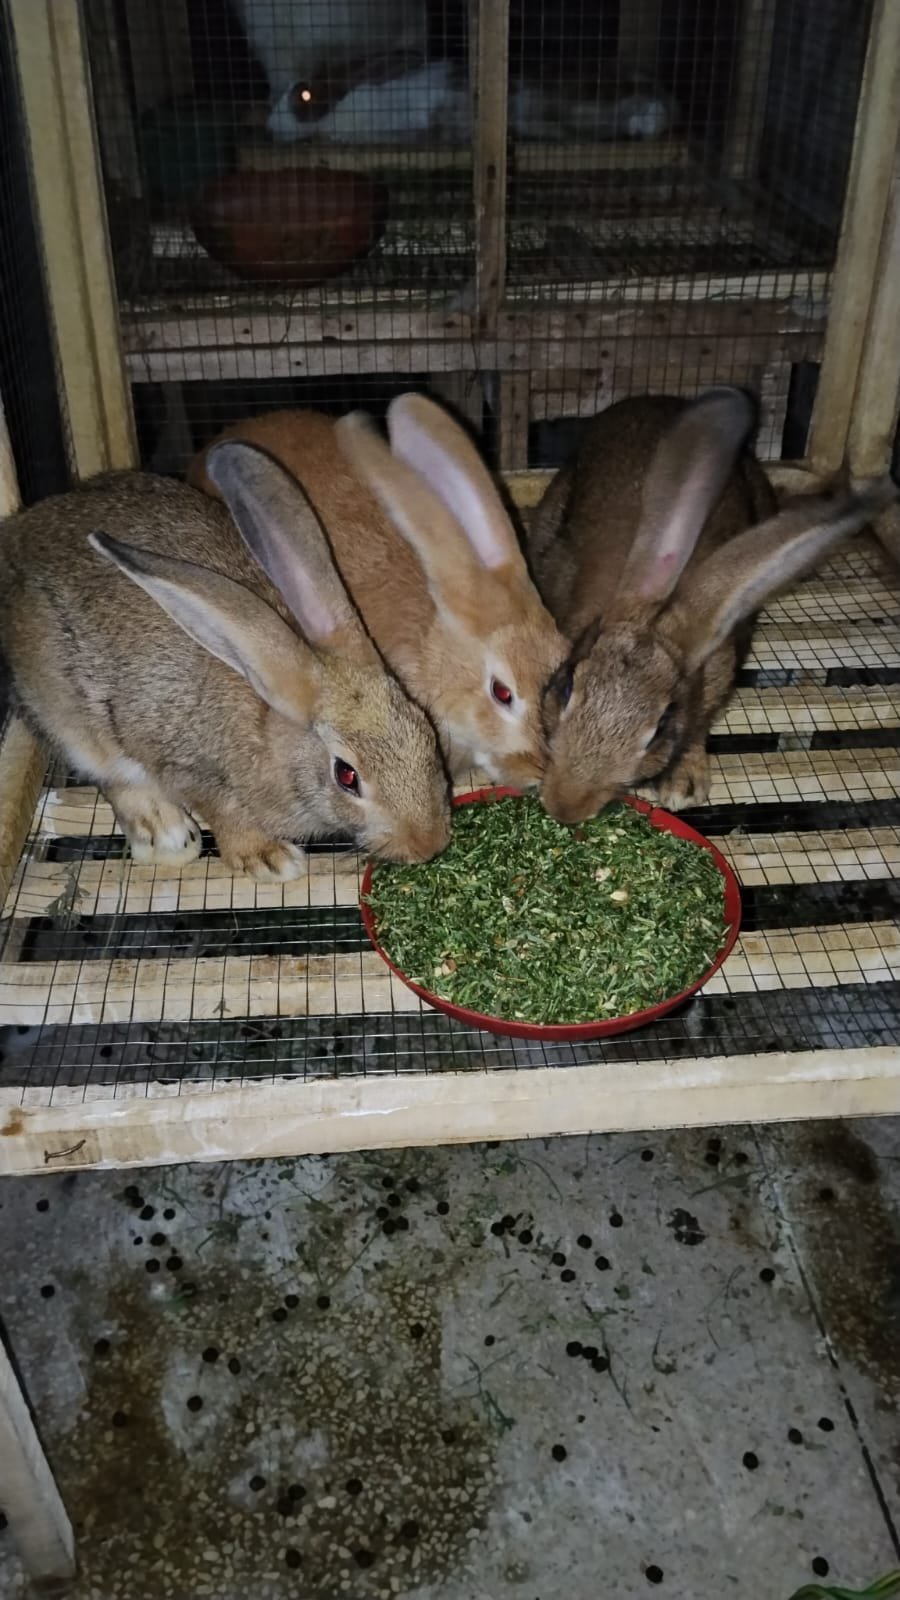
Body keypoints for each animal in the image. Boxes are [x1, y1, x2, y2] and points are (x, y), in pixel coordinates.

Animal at [0, 444, 451, 879]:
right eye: (347, 776)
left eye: (426, 730)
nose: (427, 845)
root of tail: (18, 534)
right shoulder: (191, 771)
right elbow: (225, 815)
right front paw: (268, 859)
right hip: (68, 717)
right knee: (112, 776)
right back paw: (167, 835)